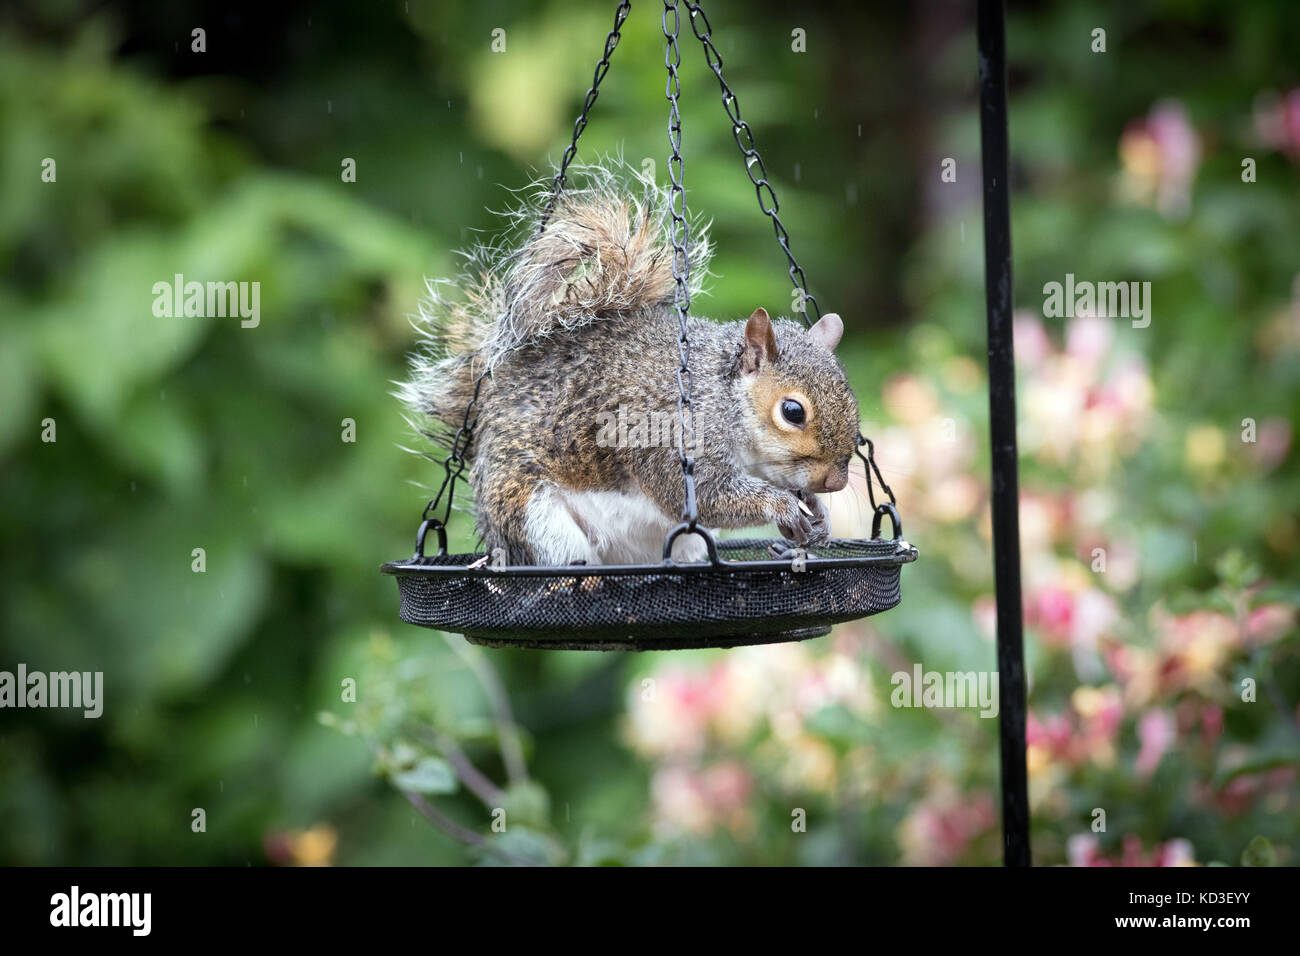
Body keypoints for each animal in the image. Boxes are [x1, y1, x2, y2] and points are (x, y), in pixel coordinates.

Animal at [400, 167, 857, 564]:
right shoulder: (669, 431)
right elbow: (702, 494)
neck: (726, 399)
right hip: (532, 514)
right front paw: (782, 506)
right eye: (792, 411)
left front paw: (818, 515)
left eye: (852, 401)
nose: (836, 482)